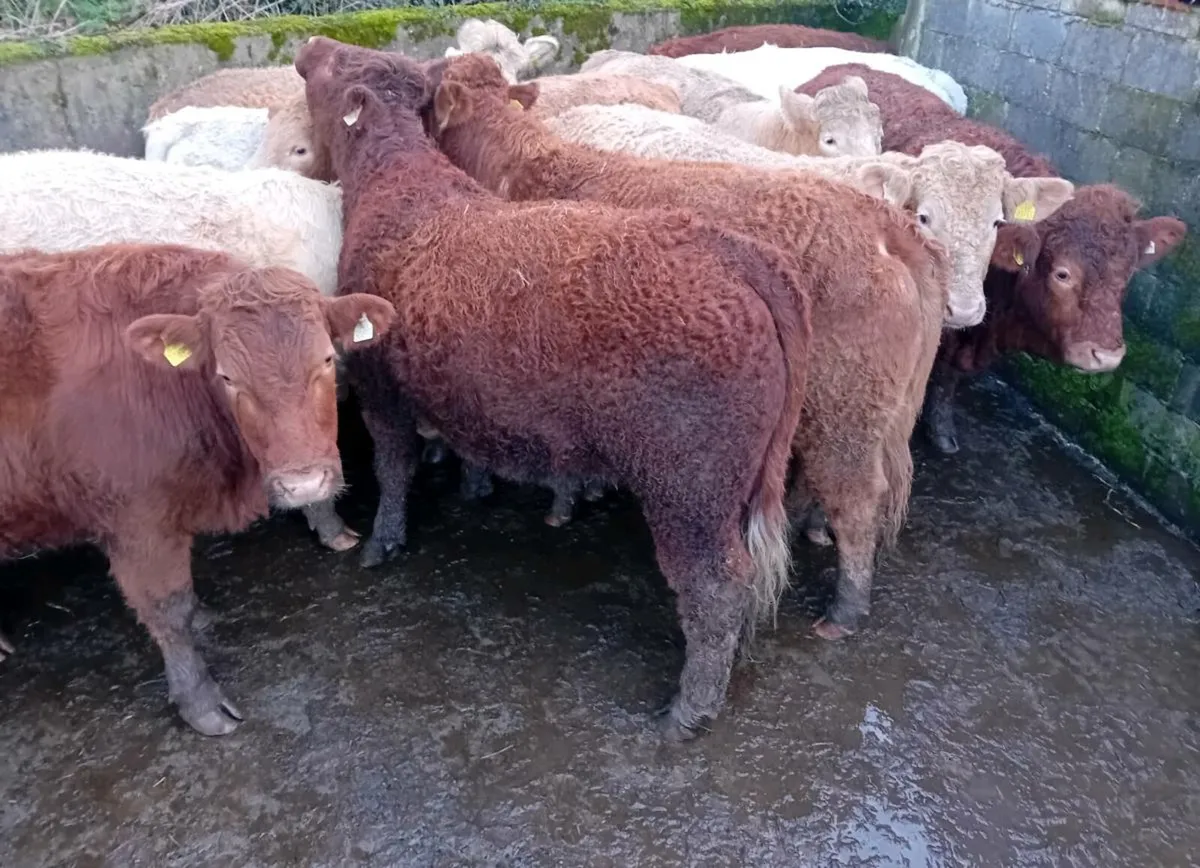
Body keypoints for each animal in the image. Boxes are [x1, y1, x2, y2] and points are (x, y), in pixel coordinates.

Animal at [0, 243, 394, 734]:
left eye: (325, 359)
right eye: (227, 377)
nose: (303, 484)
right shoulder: (138, 525)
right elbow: (170, 610)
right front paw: (199, 700)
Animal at [296, 37, 811, 741]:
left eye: (335, 66)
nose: (312, 44)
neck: (400, 184)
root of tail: (733, 252)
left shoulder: (381, 388)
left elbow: (394, 468)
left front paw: (382, 541)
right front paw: (476, 486)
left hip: (690, 490)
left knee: (716, 589)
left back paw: (689, 711)